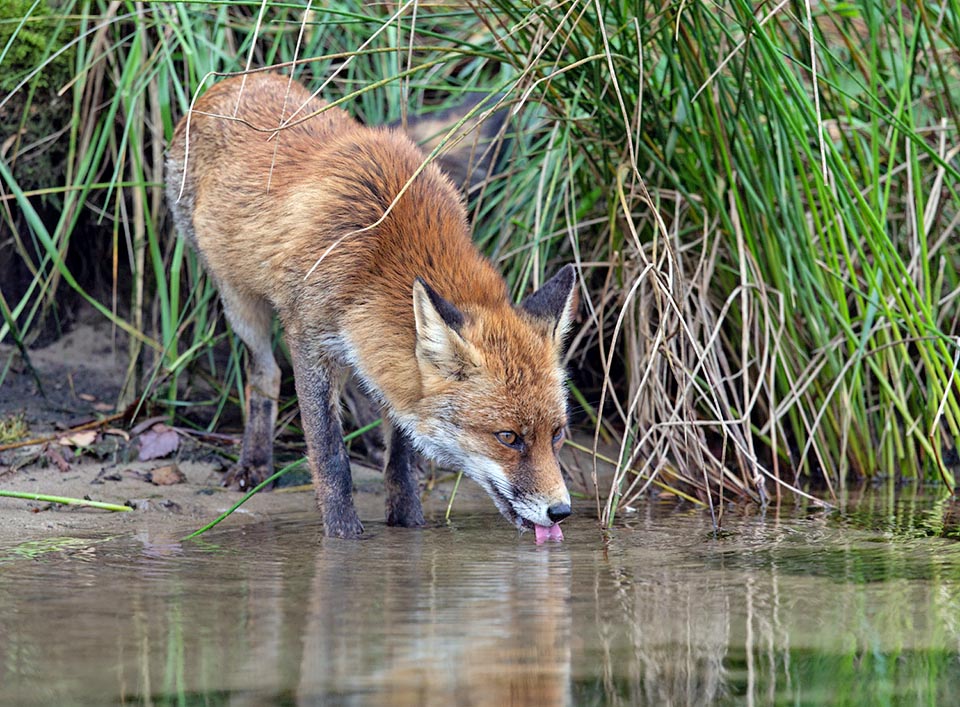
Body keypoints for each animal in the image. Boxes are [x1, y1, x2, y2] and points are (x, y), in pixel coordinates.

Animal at [163, 72, 576, 540]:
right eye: (507, 437)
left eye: (557, 434)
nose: (561, 511)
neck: (384, 248)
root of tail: (240, 79)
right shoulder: (309, 341)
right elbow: (328, 454)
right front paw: (343, 534)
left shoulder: (389, 354)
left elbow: (400, 450)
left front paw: (408, 522)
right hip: (238, 299)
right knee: (266, 373)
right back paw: (254, 462)